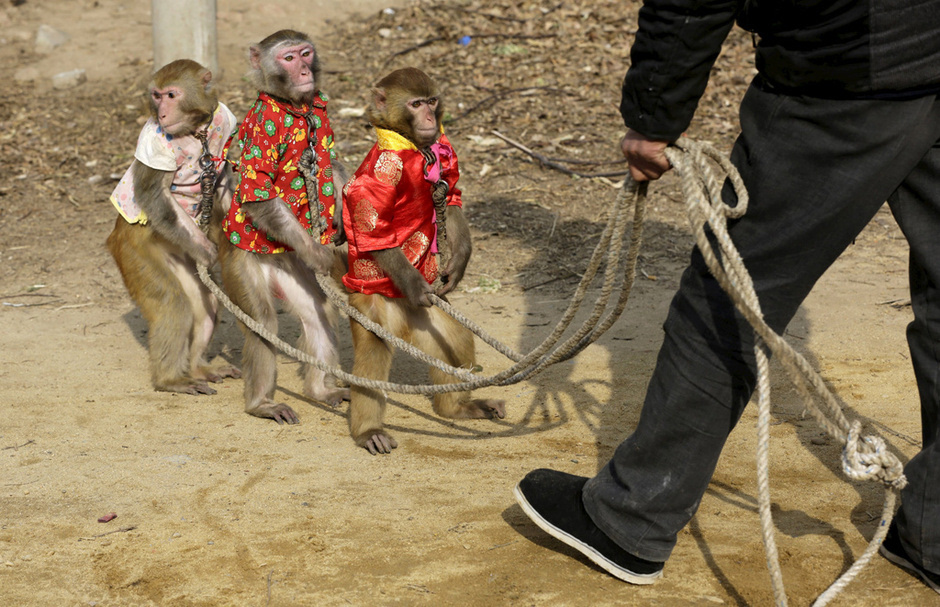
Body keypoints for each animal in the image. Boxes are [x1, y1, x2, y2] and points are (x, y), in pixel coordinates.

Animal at [106, 59, 242, 396]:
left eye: (171, 94)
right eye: (156, 96)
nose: (163, 113)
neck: (195, 129)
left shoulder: (225, 118)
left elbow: (222, 179)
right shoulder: (152, 143)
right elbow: (155, 195)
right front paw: (209, 252)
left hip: (179, 252)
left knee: (205, 304)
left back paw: (196, 368)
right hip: (134, 251)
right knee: (173, 303)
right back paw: (170, 380)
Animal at [219, 30, 348, 426]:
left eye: (305, 53)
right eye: (288, 58)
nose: (304, 70)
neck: (296, 107)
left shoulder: (321, 117)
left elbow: (331, 163)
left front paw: (339, 218)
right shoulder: (265, 126)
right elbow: (259, 192)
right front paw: (317, 252)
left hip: (292, 271)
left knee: (319, 312)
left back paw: (320, 391)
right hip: (240, 265)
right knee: (262, 322)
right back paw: (261, 404)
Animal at [342, 67, 506, 456]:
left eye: (431, 101)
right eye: (416, 105)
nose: (430, 118)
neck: (412, 146)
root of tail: (403, 320)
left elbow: (454, 194)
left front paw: (457, 265)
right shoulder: (384, 170)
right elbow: (373, 229)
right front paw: (416, 284)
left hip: (428, 319)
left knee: (455, 337)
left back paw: (458, 408)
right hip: (371, 307)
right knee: (372, 353)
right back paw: (368, 431)